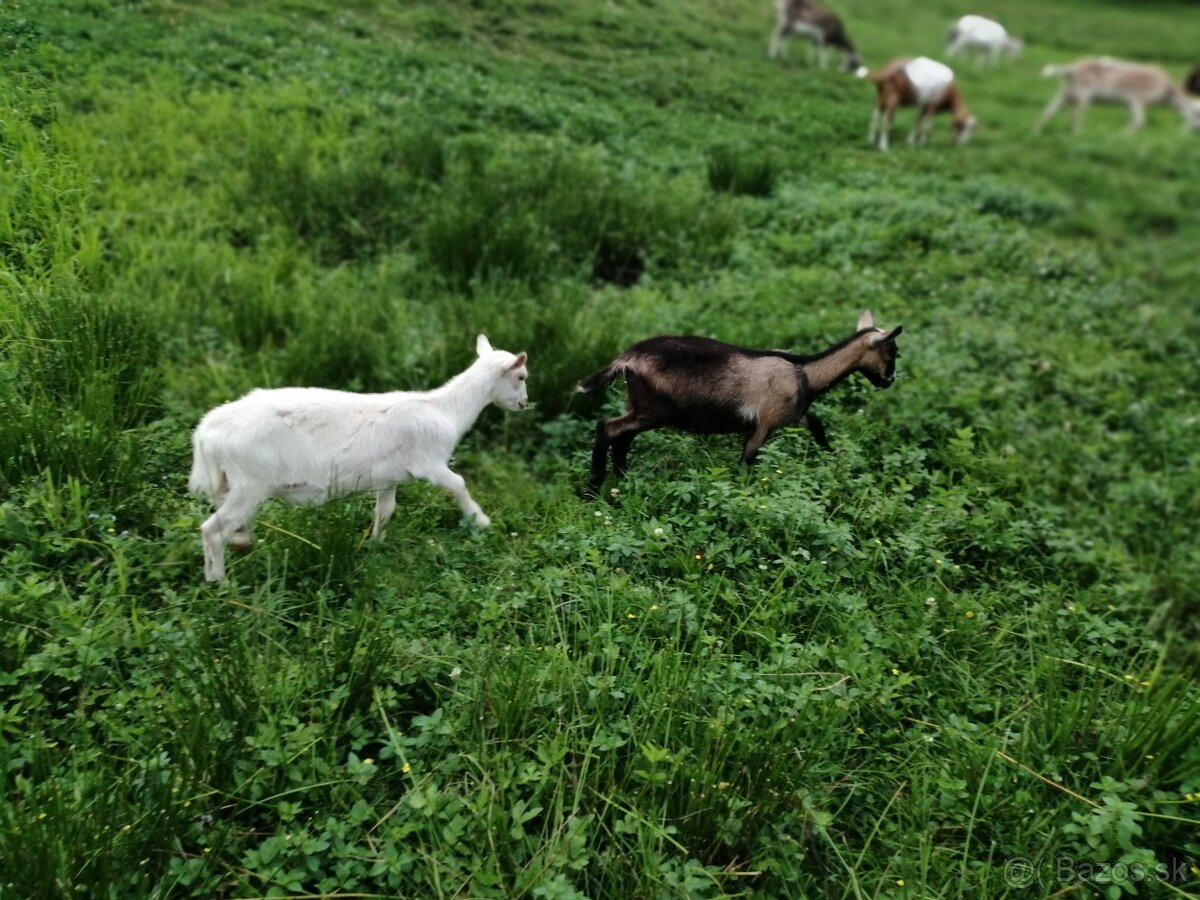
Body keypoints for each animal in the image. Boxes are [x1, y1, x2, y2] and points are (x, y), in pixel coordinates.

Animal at [187, 336, 525, 580]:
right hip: (251, 483)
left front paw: (375, 544)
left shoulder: (389, 476)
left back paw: (242, 544)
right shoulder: (428, 463)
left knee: (227, 524)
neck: (446, 409)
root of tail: (207, 432)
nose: (524, 404)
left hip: (229, 483)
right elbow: (458, 483)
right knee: (212, 531)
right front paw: (481, 520)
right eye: (522, 376)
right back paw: (219, 584)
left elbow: (385, 509)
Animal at [578, 307, 902, 496]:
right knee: (609, 428)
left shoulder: (794, 415)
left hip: (641, 406)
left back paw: (622, 478)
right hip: (654, 409)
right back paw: (593, 489)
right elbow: (747, 462)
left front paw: (833, 463)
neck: (805, 374)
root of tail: (627, 359)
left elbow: (818, 427)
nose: (889, 380)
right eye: (892, 351)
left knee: (622, 435)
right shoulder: (764, 424)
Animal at [1032, 58, 1200, 135]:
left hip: (1066, 93)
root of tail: (1070, 70)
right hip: (1083, 94)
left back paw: (1035, 132)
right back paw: (1077, 135)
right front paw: (1120, 136)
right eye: (1196, 113)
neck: (1167, 90)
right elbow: (1139, 122)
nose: (1194, 130)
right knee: (1074, 117)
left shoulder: (1132, 103)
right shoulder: (1137, 99)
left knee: (1047, 112)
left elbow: (1135, 121)